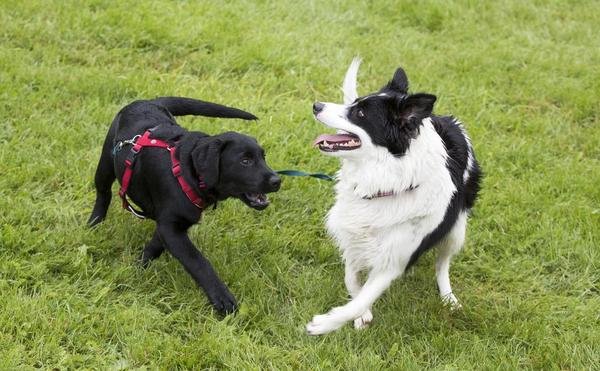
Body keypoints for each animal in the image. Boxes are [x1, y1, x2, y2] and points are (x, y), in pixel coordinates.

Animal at [88, 97, 282, 316]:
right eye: (245, 161)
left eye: (263, 157)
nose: (277, 180)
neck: (188, 171)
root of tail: (147, 101)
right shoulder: (171, 228)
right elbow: (198, 261)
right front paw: (222, 298)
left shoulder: (170, 225)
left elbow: (154, 246)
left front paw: (139, 266)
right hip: (106, 161)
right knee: (103, 193)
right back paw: (94, 223)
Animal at [308, 59, 480, 336]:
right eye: (354, 103)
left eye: (361, 114)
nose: (316, 105)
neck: (385, 183)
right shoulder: (354, 237)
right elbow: (352, 282)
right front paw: (361, 315)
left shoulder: (394, 260)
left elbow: (362, 298)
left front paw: (325, 324)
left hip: (456, 230)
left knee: (442, 264)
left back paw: (448, 298)